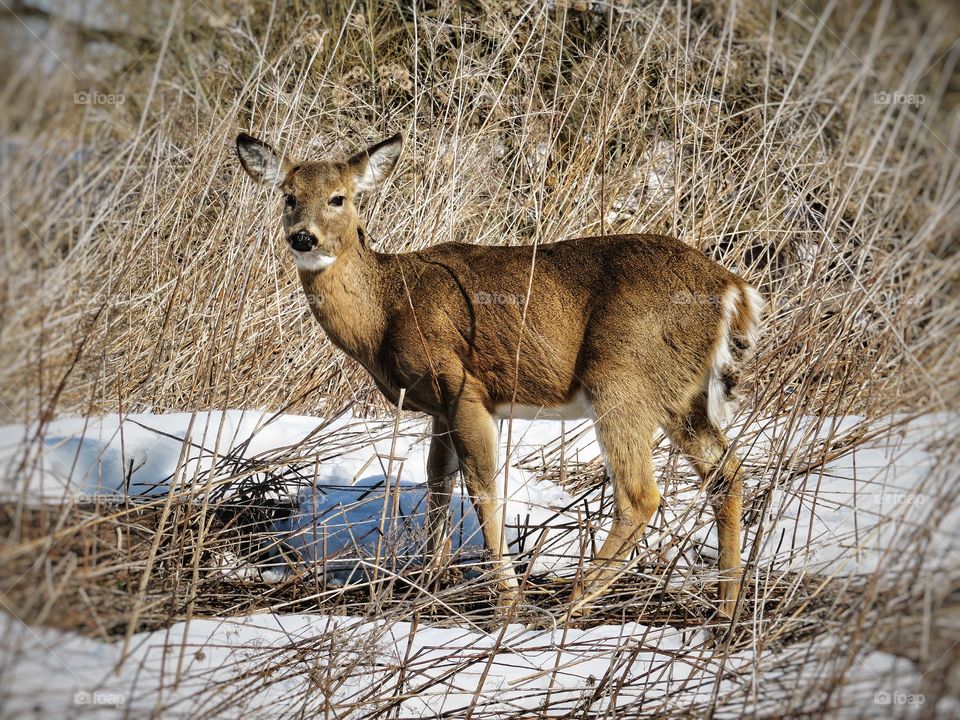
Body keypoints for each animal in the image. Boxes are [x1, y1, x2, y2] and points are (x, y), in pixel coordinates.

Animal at [235, 131, 764, 620]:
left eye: (338, 197)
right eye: (288, 195)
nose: (303, 237)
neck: (387, 308)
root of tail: (733, 288)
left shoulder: (464, 386)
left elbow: (483, 490)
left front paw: (505, 598)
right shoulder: (437, 405)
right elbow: (437, 483)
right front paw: (430, 581)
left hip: (622, 378)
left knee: (640, 495)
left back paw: (572, 604)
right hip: (681, 395)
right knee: (726, 474)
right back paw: (726, 607)